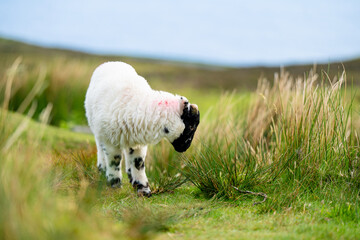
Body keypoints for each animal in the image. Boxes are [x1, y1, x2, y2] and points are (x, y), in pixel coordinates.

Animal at [84, 62, 200, 197]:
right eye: (191, 126)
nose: (185, 148)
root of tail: (111, 62)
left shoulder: (138, 144)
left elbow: (138, 163)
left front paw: (143, 189)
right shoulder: (110, 141)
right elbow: (114, 161)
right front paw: (115, 185)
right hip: (98, 132)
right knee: (101, 151)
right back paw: (102, 171)